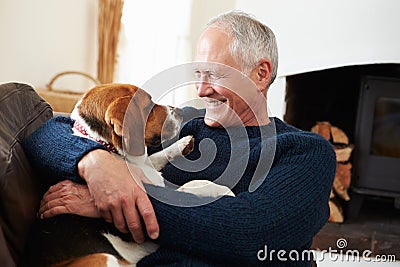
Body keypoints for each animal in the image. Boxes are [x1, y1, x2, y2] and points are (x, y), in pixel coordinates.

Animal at [34, 84, 234, 267]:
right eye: (148, 105)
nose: (180, 112)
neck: (108, 146)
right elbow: (188, 186)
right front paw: (221, 189)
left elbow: (157, 157)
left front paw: (183, 144)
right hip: (104, 258)